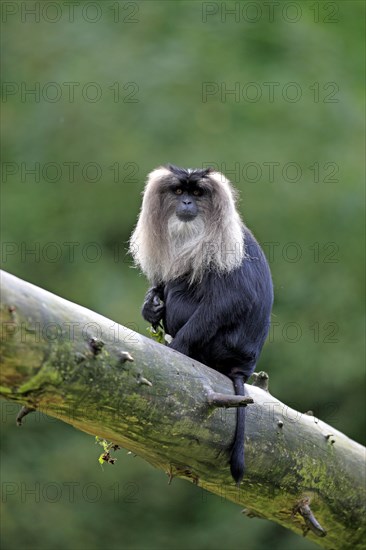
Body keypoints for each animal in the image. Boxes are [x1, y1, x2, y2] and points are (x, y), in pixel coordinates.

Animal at [130, 166, 274, 486]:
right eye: (178, 192)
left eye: (197, 193)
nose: (186, 203)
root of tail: (242, 367)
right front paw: (150, 306)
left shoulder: (223, 252)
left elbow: (230, 300)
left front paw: (177, 348)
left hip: (217, 347)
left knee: (182, 288)